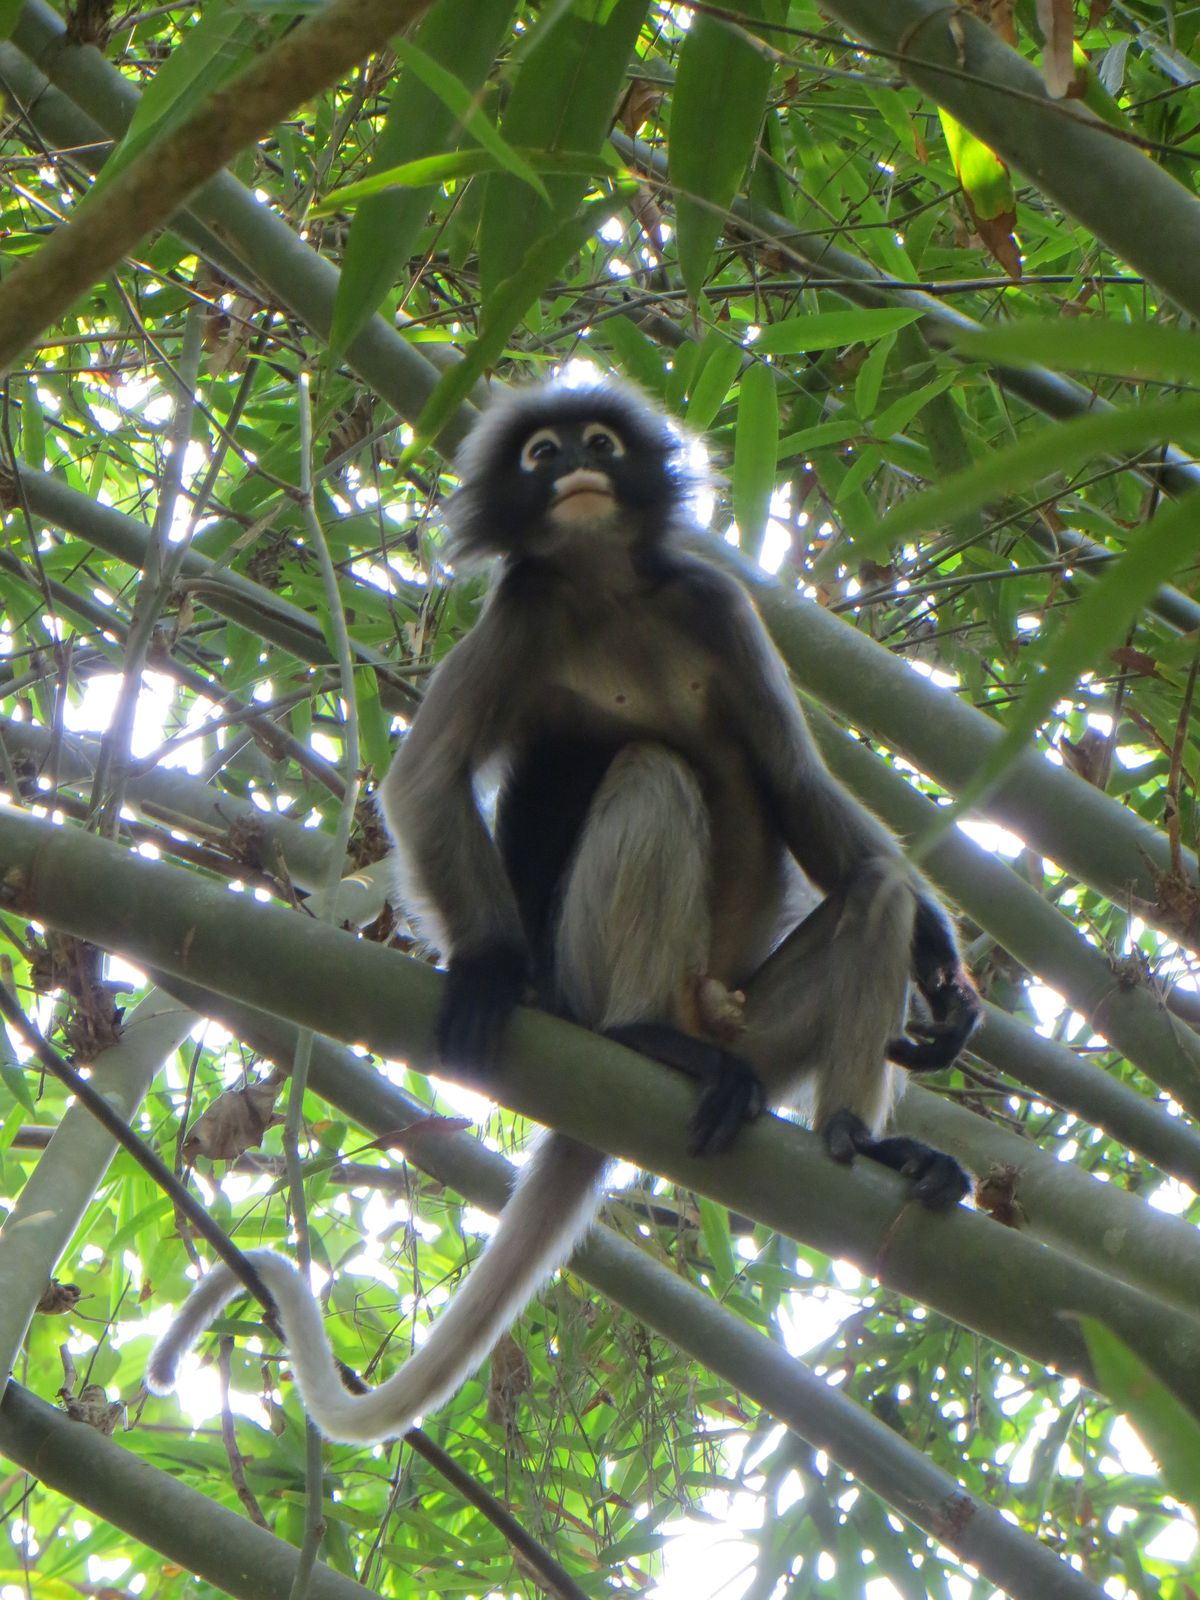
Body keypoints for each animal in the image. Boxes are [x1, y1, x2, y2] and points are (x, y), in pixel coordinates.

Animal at [146, 378, 979, 1444]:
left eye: (599, 443)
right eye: (542, 454)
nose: (576, 464)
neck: (605, 592)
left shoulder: (715, 602)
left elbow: (797, 785)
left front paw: (945, 976)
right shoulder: (519, 615)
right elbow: (424, 782)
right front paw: (493, 971)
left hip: (760, 1031)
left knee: (874, 892)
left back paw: (858, 1143)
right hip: (593, 975)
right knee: (653, 772)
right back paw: (641, 1037)